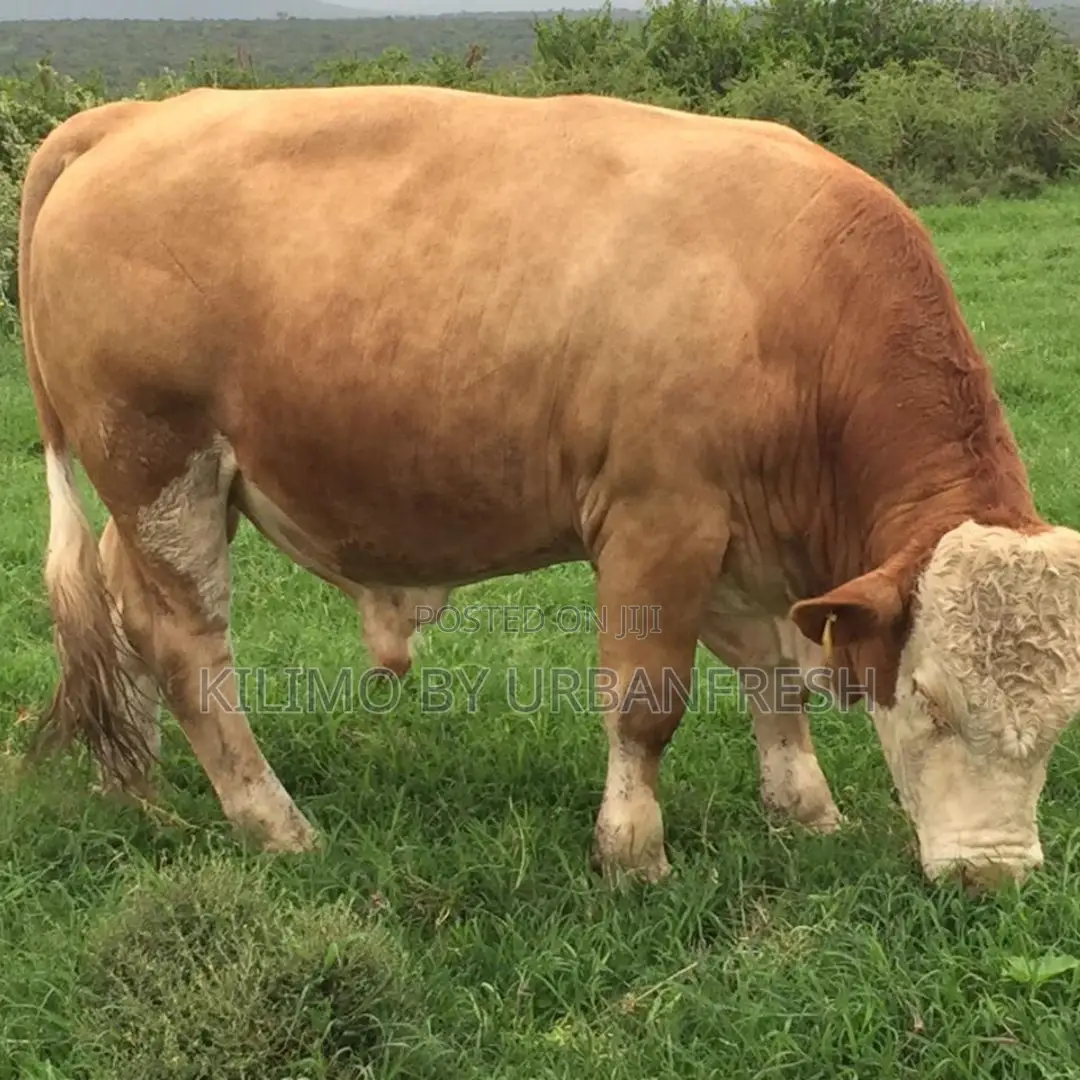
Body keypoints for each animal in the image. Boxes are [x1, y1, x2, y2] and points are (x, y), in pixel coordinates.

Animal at [18, 84, 1080, 891]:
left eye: (1061, 723)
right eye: (932, 702)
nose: (997, 877)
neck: (784, 298)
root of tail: (130, 118)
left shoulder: (737, 541)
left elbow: (776, 675)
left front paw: (805, 810)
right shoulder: (658, 522)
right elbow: (648, 701)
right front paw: (633, 854)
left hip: (163, 494)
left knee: (124, 607)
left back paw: (138, 776)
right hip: (161, 466)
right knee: (188, 645)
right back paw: (273, 823)